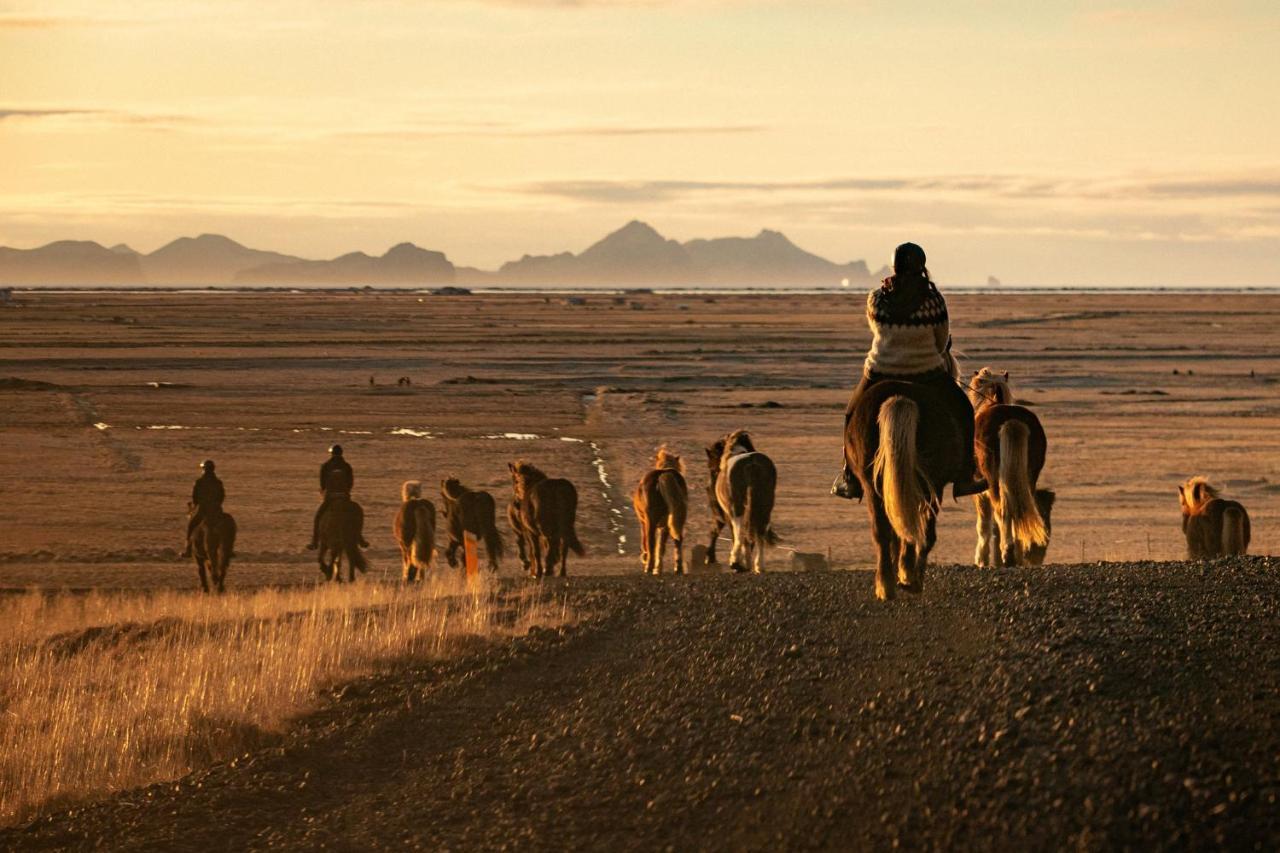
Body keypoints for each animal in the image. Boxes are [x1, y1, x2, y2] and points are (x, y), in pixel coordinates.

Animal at [632, 440, 691, 573]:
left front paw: (646, 559)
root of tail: (663, 474)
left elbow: (646, 542)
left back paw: (648, 568)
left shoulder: (643, 522)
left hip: (651, 521)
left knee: (651, 542)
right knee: (678, 540)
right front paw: (658, 568)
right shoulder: (664, 526)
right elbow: (661, 547)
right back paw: (677, 568)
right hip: (675, 521)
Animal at [706, 432, 773, 571]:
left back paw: (736, 562)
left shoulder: (728, 514)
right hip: (765, 507)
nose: (709, 491)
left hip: (736, 508)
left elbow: (734, 533)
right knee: (759, 531)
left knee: (739, 530)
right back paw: (759, 565)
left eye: (712, 469)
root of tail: (752, 464)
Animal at [849, 376, 967, 601]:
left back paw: (886, 585)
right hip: (933, 485)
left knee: (883, 531)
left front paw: (901, 571)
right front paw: (906, 572)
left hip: (872, 485)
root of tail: (899, 397)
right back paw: (913, 581)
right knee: (924, 533)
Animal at [967, 368, 1049, 568]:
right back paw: (1018, 553)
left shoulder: (980, 492)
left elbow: (984, 524)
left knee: (1002, 510)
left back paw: (1008, 553)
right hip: (1028, 477)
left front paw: (982, 559)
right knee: (1021, 509)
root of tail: (1011, 421)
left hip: (994, 480)